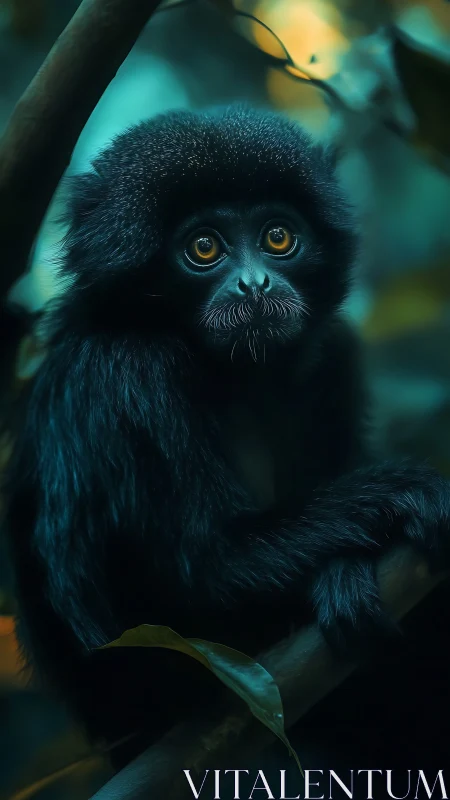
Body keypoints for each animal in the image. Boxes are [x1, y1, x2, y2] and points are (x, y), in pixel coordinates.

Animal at [4, 105, 450, 773]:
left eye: (277, 238)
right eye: (204, 247)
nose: (255, 285)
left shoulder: (332, 357)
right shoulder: (127, 373)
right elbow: (203, 572)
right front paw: (405, 493)